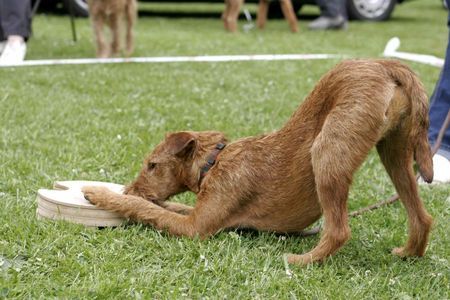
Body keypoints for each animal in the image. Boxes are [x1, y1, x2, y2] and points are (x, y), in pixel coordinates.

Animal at [82, 59, 434, 266]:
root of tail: (387, 65)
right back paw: (409, 253)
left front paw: (101, 194)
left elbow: (148, 209)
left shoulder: (195, 228)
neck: (214, 161)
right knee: (422, 216)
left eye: (152, 165)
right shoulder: (200, 214)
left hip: (328, 151)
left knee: (338, 230)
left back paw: (301, 261)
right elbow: (166, 206)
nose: (130, 188)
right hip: (395, 154)